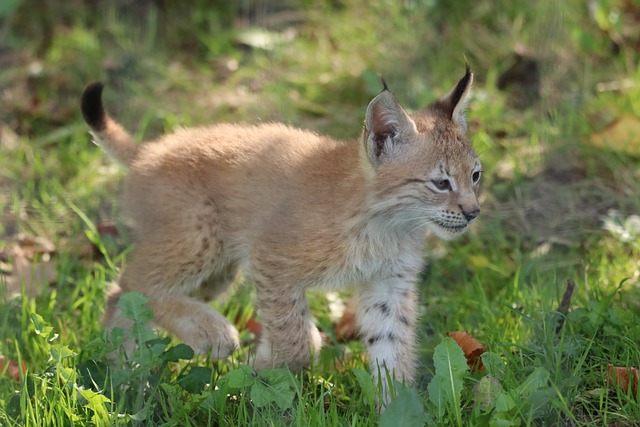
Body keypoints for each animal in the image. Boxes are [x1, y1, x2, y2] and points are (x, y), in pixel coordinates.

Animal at [80, 67, 480, 402]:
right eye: (441, 183)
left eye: (475, 175)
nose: (473, 212)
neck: (387, 223)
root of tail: (148, 151)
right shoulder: (271, 256)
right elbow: (298, 339)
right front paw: (261, 374)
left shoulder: (388, 283)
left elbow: (393, 344)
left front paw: (395, 405)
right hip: (201, 239)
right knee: (132, 283)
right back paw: (204, 336)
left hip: (218, 271)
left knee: (127, 293)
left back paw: (123, 370)